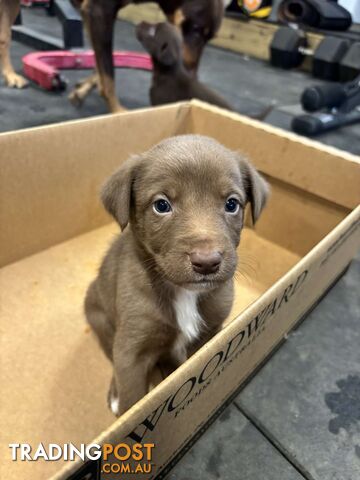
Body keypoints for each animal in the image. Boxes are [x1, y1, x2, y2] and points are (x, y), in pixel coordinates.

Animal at [85, 135, 270, 416]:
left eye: (231, 204)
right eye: (161, 205)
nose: (207, 262)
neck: (184, 293)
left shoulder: (211, 331)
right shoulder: (131, 349)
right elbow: (131, 398)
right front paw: (126, 405)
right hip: (99, 316)